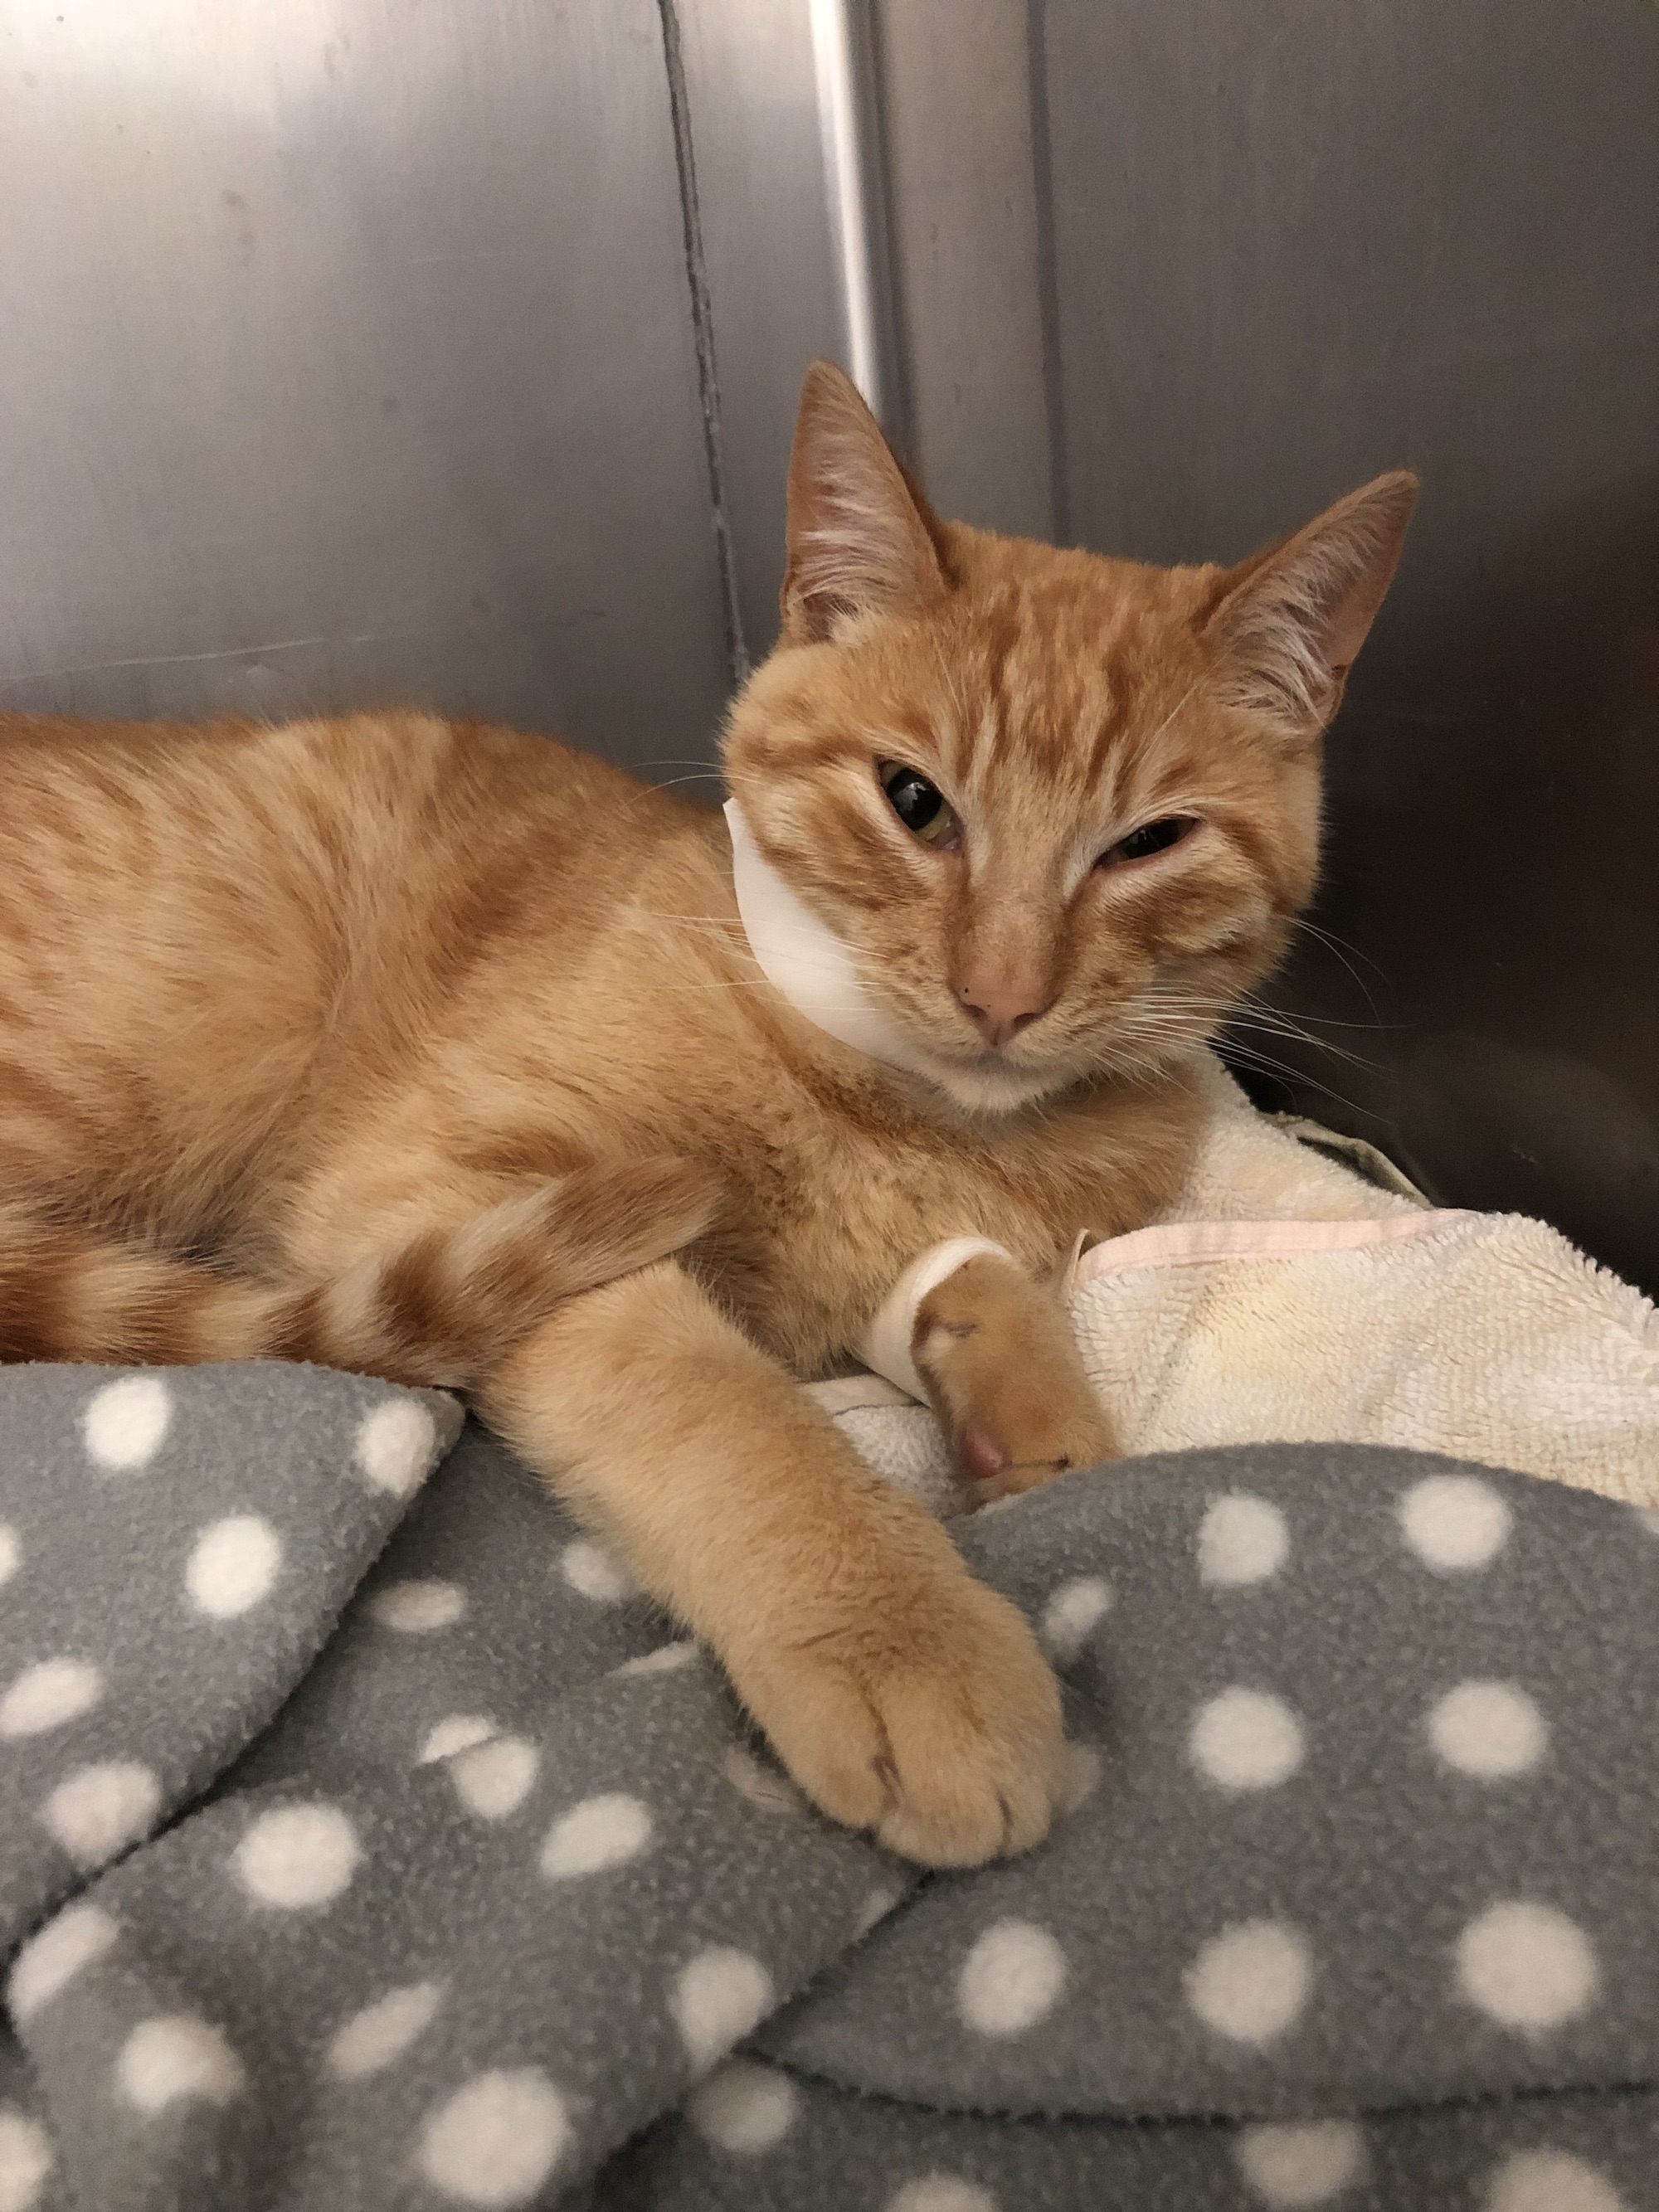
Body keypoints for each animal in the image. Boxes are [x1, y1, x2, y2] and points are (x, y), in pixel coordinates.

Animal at [0, 367, 1415, 1866]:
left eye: (1150, 842)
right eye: (913, 801)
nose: (1002, 994)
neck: (919, 1110)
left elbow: (976, 1284)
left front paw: (1035, 1410)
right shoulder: (435, 1181)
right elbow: (723, 1406)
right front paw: (900, 1630)